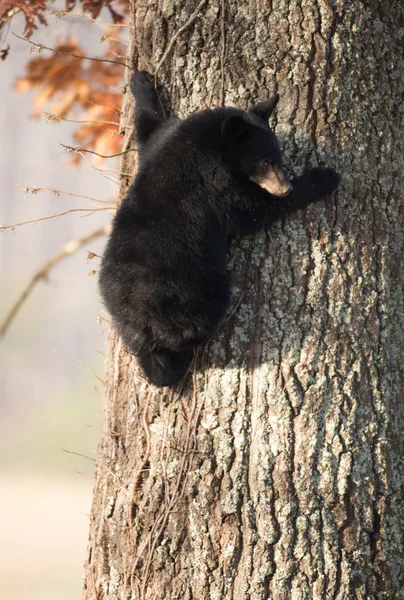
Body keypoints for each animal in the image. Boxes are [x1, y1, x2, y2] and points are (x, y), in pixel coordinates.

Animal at [98, 70, 340, 390]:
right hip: (198, 293)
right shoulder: (216, 188)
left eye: (277, 157)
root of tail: (144, 327)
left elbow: (148, 129)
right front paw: (322, 178)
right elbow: (253, 212)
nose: (285, 186)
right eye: (265, 161)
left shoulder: (162, 143)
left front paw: (141, 82)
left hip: (120, 316)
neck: (205, 143)